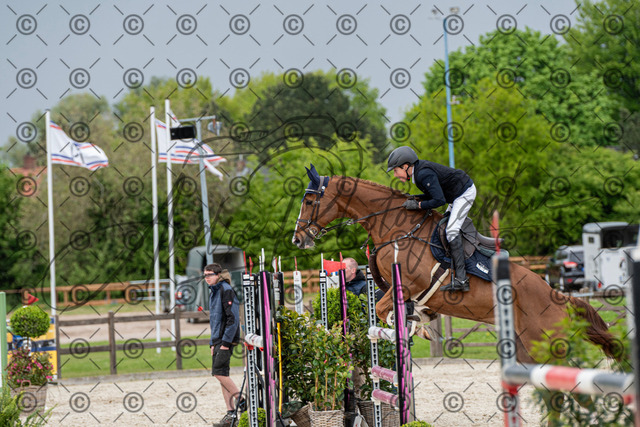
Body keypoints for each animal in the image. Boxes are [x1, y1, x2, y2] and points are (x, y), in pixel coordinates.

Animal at [291, 167, 619, 364]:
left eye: (308, 201)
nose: (297, 239)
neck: (395, 226)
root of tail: (561, 298)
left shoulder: (409, 284)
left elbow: (384, 312)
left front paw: (406, 330)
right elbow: (400, 310)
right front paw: (417, 322)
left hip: (544, 346)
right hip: (528, 349)